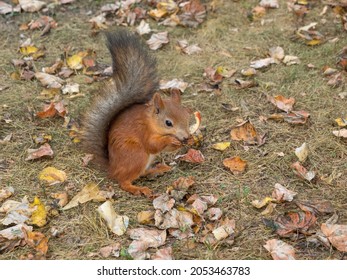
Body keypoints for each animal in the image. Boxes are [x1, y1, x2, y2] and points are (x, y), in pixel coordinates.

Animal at [82, 30, 192, 197]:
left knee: (141, 174)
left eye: (187, 117)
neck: (151, 122)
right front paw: (171, 139)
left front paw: (190, 139)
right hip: (136, 154)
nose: (185, 137)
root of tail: (112, 169)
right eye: (168, 123)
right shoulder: (143, 131)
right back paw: (139, 189)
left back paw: (158, 169)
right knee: (125, 182)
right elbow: (153, 145)